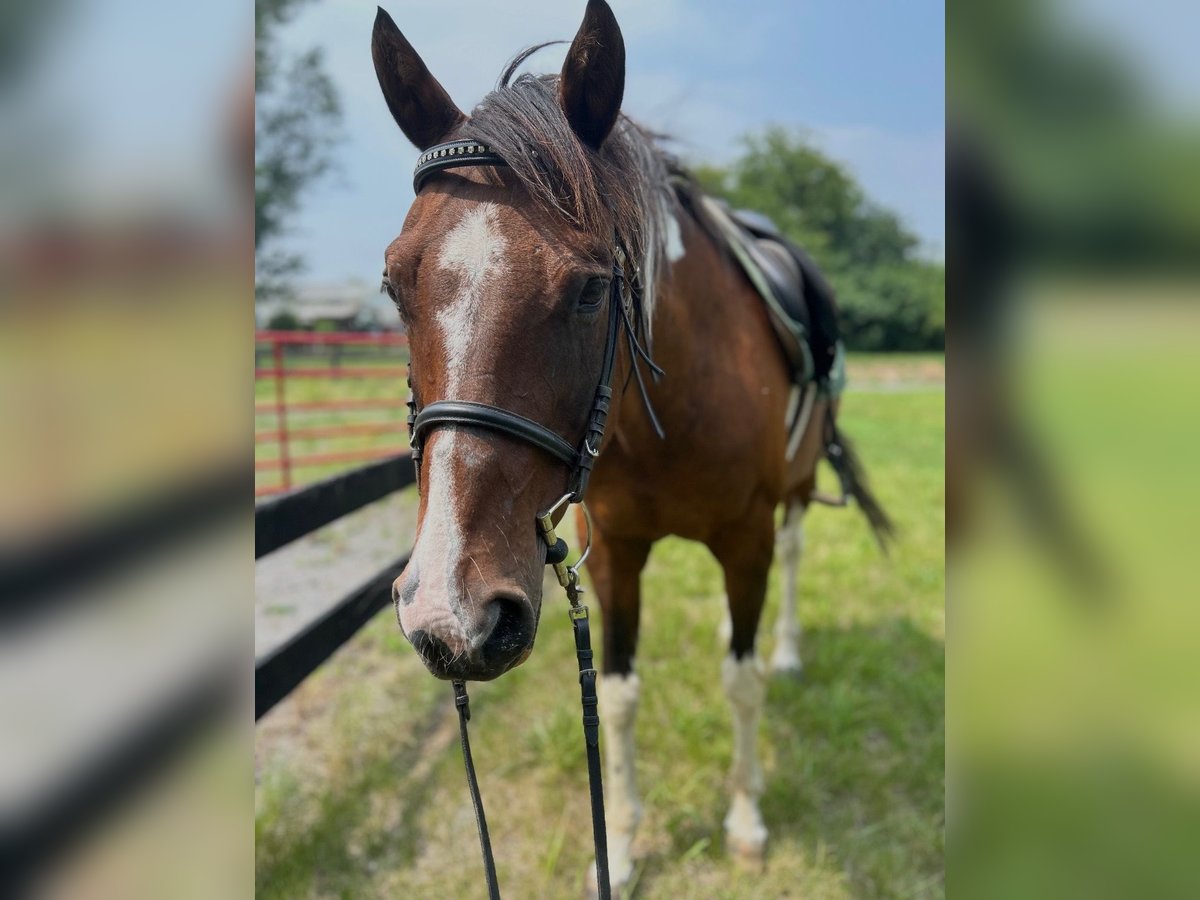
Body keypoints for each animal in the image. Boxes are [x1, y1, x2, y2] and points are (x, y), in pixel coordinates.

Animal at [372, 1, 891, 892]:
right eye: (394, 284)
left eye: (589, 289)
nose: (450, 615)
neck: (665, 416)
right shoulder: (611, 551)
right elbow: (614, 695)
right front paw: (619, 844)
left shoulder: (746, 540)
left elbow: (743, 681)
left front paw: (745, 819)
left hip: (790, 497)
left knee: (791, 563)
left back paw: (787, 649)